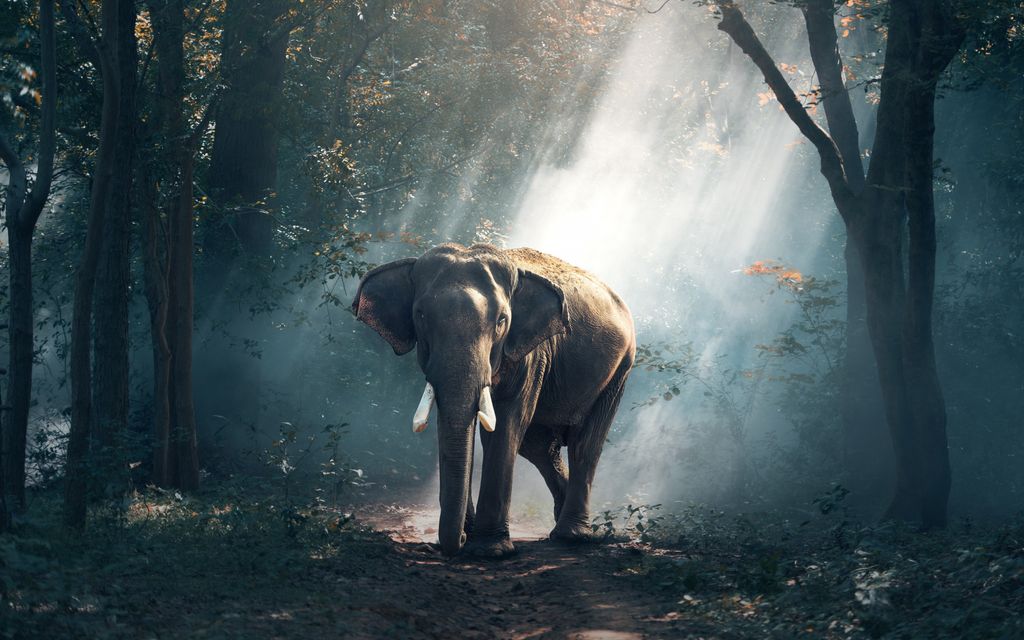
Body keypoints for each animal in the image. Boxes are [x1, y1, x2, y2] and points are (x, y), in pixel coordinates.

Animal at [352, 243, 635, 557]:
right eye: (421, 316)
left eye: (501, 321)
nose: (459, 540)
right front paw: (471, 536)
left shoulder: (531, 354)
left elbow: (506, 425)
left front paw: (490, 550)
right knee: (539, 447)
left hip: (620, 369)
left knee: (584, 444)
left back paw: (572, 536)